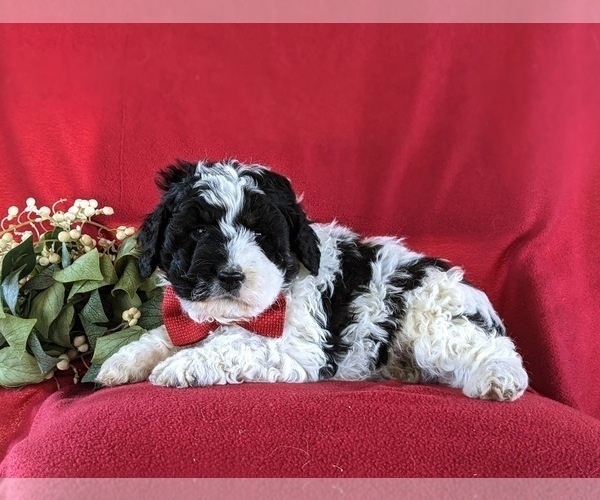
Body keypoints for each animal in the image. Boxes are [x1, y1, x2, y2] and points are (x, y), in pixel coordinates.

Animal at [98, 158, 528, 400]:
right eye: (199, 232)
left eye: (262, 235)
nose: (231, 275)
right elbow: (164, 335)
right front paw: (122, 362)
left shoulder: (297, 349)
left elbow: (236, 344)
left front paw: (183, 365)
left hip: (436, 324)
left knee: (492, 350)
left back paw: (498, 379)